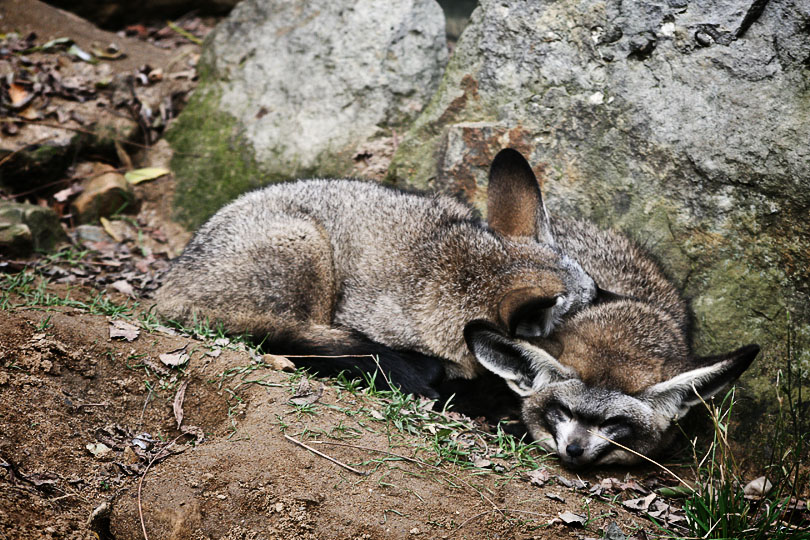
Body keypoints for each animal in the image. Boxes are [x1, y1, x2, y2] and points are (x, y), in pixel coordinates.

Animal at [155, 148, 596, 392]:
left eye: (598, 291)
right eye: (582, 315)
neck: (452, 266)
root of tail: (167, 289)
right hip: (309, 247)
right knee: (294, 334)